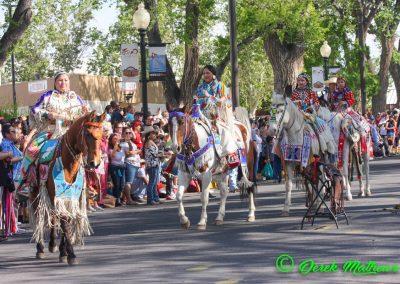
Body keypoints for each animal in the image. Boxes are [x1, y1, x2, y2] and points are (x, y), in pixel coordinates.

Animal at [27, 111, 106, 266]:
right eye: (87, 134)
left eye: (102, 135)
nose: (94, 163)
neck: (67, 165)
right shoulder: (59, 196)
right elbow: (64, 222)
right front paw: (71, 254)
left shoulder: (69, 198)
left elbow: (67, 222)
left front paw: (63, 252)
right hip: (35, 193)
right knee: (40, 217)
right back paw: (40, 248)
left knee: (52, 216)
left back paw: (52, 244)